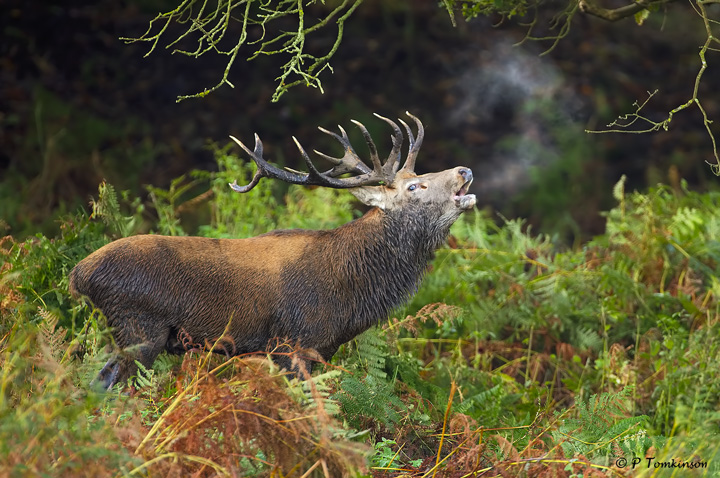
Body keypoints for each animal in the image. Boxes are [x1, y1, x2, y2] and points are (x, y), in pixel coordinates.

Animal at [69, 112, 476, 390]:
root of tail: (78, 275)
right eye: (415, 187)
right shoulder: (290, 343)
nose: (464, 170)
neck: (351, 297)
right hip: (139, 327)